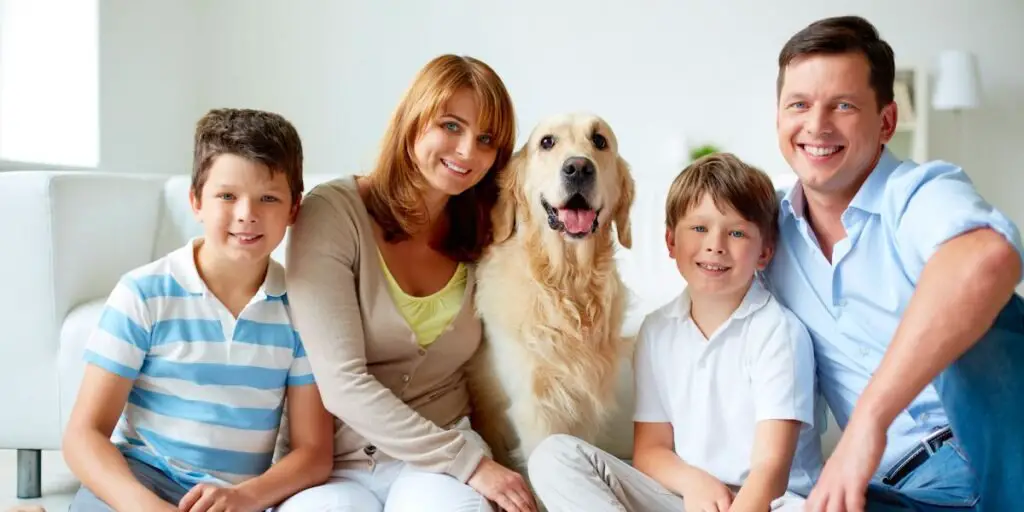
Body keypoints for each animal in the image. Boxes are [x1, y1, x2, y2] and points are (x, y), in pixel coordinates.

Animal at [468, 112, 630, 468]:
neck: (567, 283)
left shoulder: (583, 407)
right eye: (547, 142)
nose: (579, 168)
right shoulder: (536, 408)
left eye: (599, 140)